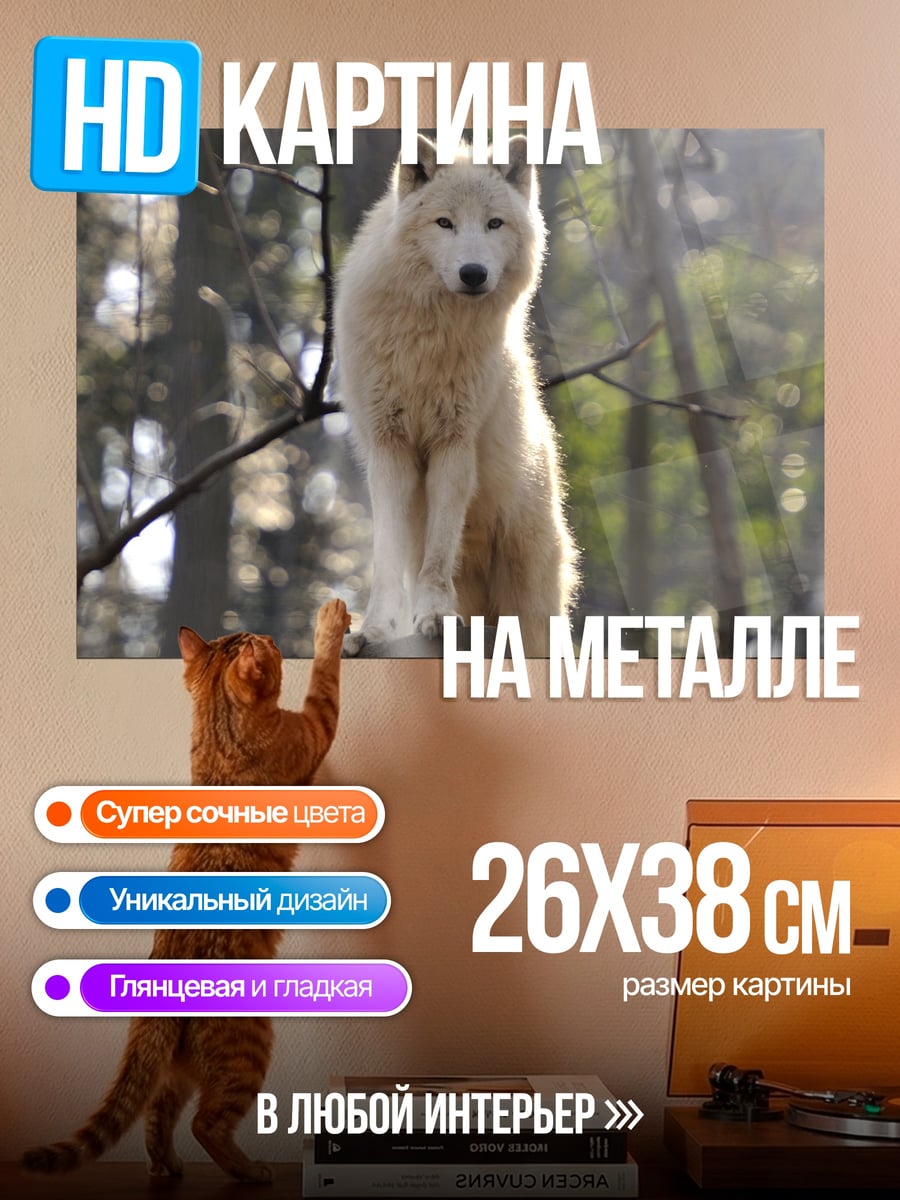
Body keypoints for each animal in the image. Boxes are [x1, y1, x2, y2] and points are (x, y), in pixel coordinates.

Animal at [335, 134, 578, 657]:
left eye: (494, 223)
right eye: (444, 223)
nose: (473, 273)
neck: (430, 339)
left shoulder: (454, 444)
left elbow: (440, 553)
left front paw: (434, 617)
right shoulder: (390, 448)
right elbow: (386, 558)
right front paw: (374, 629)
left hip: (530, 588)